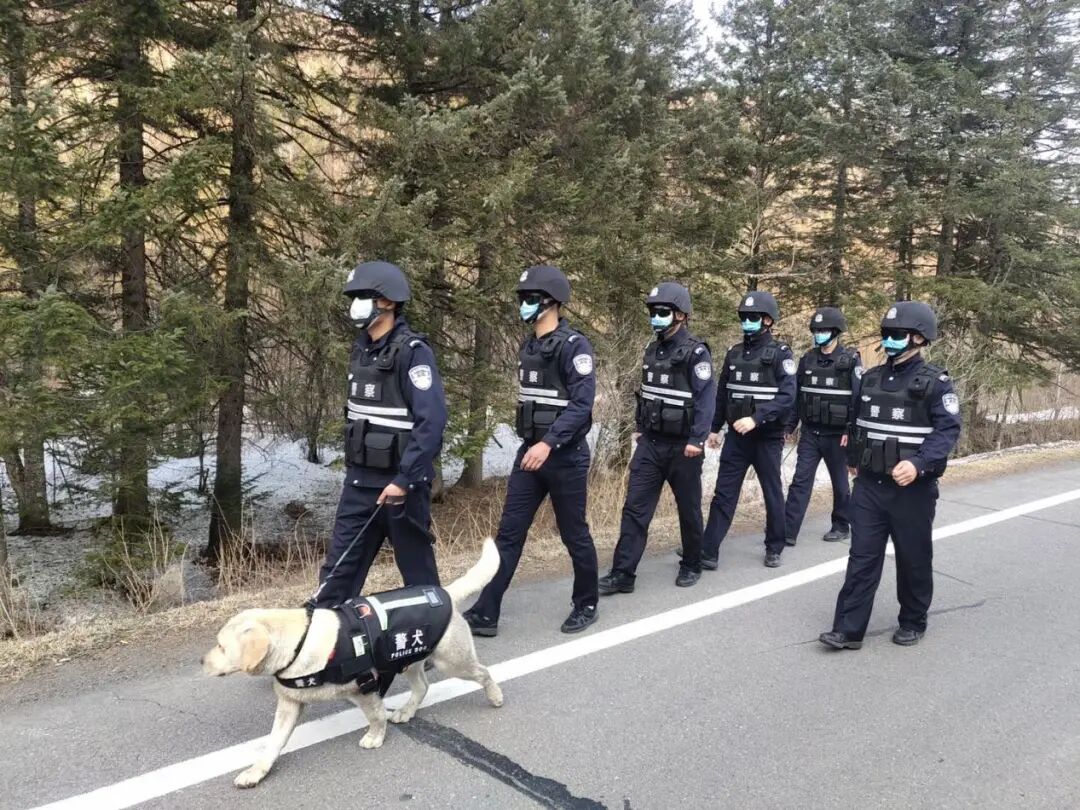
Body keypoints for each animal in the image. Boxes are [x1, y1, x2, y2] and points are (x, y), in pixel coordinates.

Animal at [202, 538, 504, 788]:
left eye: (221, 646)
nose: (201, 660)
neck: (300, 642)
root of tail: (446, 593)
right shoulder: (290, 703)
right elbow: (273, 742)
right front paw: (256, 772)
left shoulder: (364, 689)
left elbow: (376, 716)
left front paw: (375, 737)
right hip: (408, 659)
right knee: (422, 686)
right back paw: (406, 711)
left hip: (452, 660)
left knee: (483, 672)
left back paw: (495, 695)